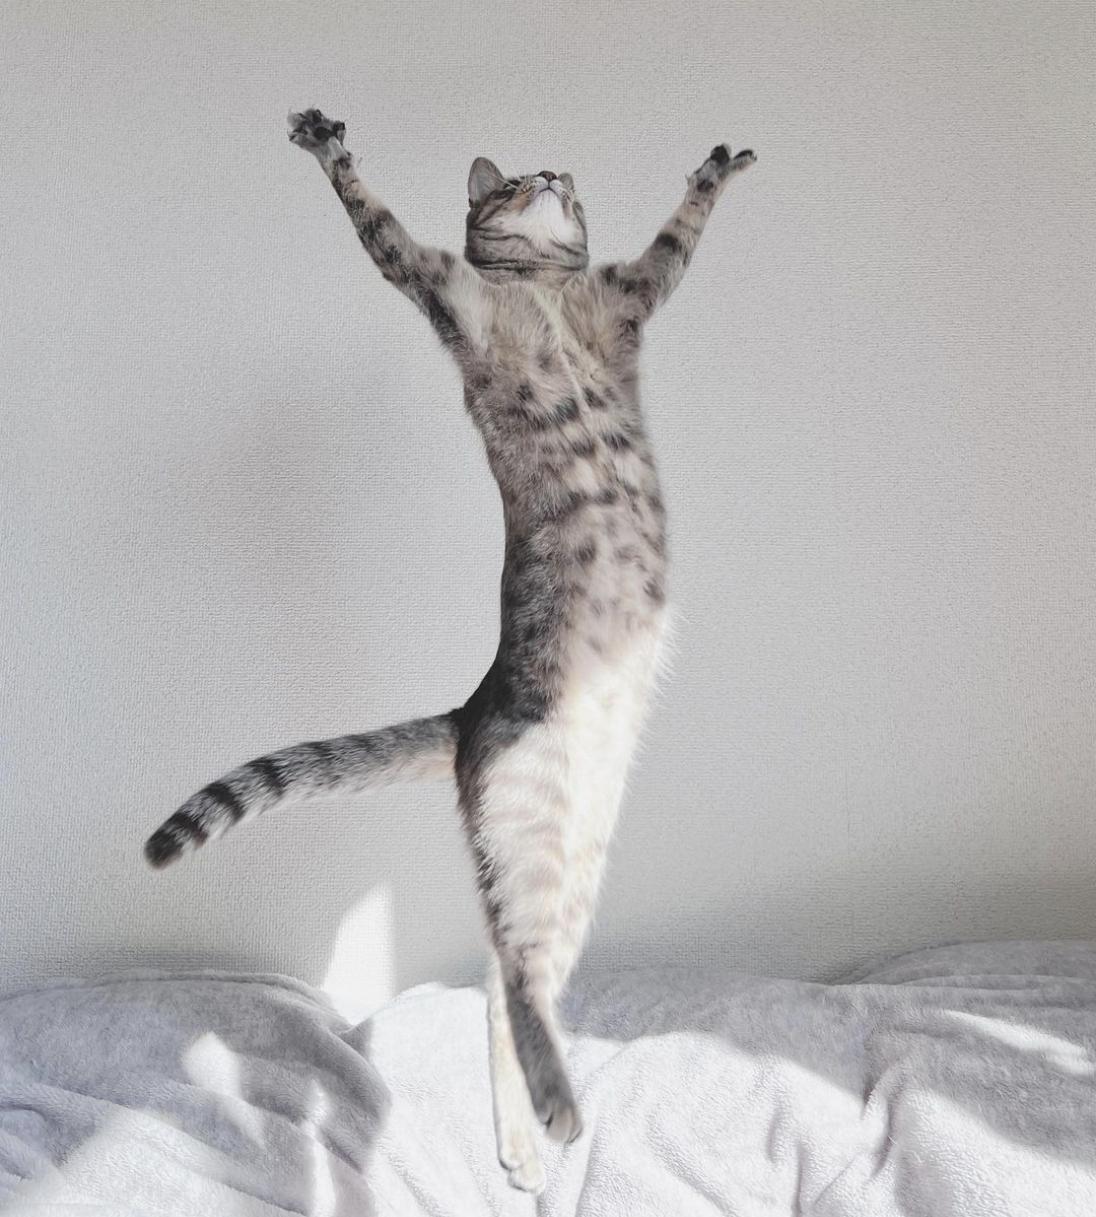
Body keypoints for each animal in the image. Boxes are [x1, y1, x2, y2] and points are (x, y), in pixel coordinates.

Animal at [144, 107, 755, 1193]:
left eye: (562, 179)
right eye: (511, 181)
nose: (549, 175)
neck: (542, 282)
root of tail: (470, 712)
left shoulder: (631, 293)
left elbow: (682, 230)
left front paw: (715, 172)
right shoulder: (440, 284)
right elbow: (375, 219)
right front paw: (331, 151)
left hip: (574, 858)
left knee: (509, 990)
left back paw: (527, 1132)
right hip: (532, 827)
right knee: (508, 985)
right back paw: (551, 1112)